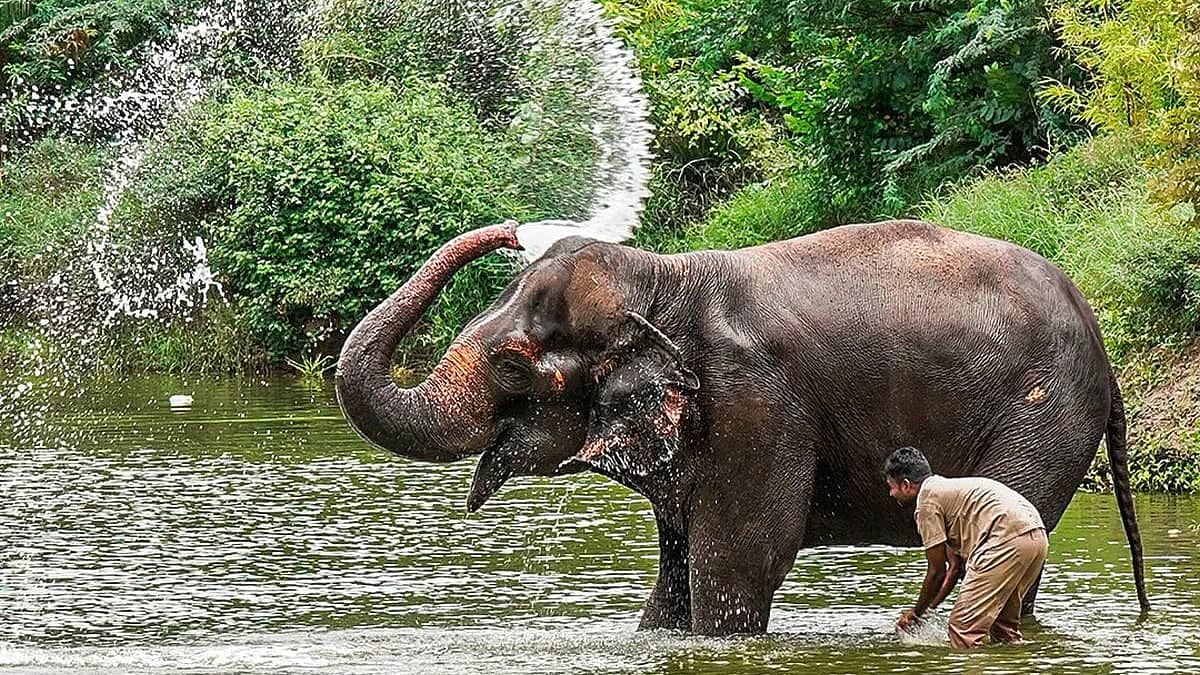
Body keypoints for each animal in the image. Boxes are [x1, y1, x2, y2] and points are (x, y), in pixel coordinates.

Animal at [335, 218, 1150, 636]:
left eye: (509, 366)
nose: (510, 231)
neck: (661, 276)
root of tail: (1105, 353)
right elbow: (677, 566)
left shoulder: (757, 406)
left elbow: (740, 561)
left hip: (1043, 414)